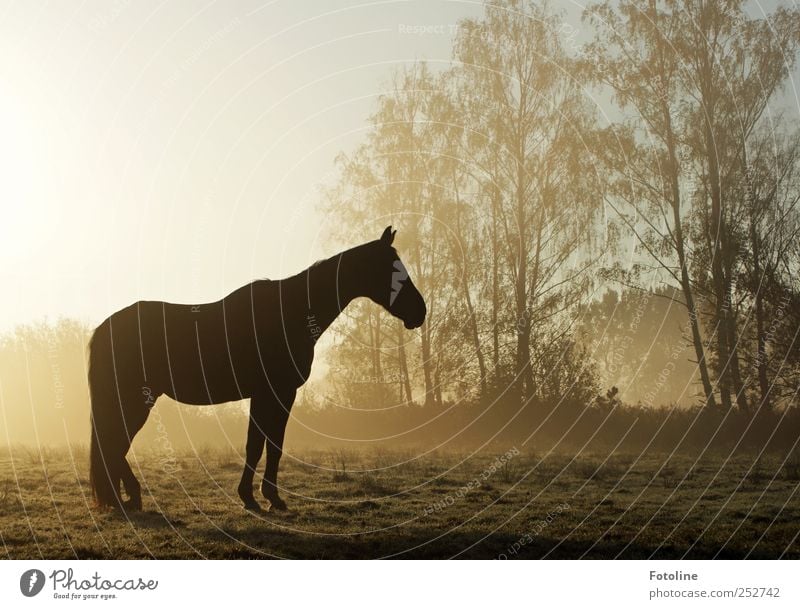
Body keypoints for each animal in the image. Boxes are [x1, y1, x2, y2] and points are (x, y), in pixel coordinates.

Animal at [88, 226, 428, 510]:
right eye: (393, 269)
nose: (420, 311)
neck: (291, 312)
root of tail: (104, 328)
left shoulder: (266, 396)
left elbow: (260, 445)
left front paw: (254, 496)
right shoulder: (277, 392)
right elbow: (267, 445)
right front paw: (265, 497)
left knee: (113, 444)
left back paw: (123, 498)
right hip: (135, 399)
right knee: (113, 444)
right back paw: (127, 498)